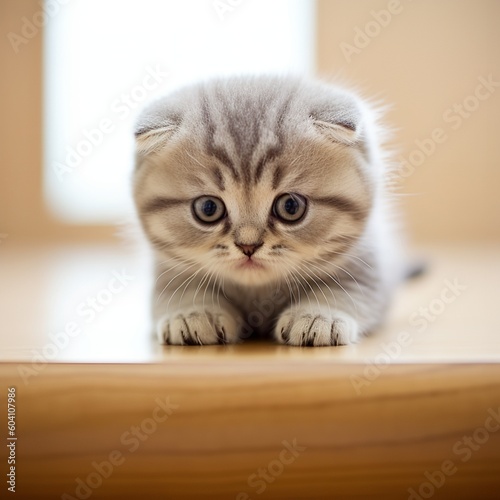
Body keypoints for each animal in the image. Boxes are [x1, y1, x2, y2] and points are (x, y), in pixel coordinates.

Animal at [132, 75, 402, 348]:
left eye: (291, 206)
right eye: (208, 208)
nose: (248, 246)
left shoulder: (367, 266)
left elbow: (347, 292)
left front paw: (318, 315)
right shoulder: (167, 271)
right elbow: (179, 290)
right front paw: (194, 312)